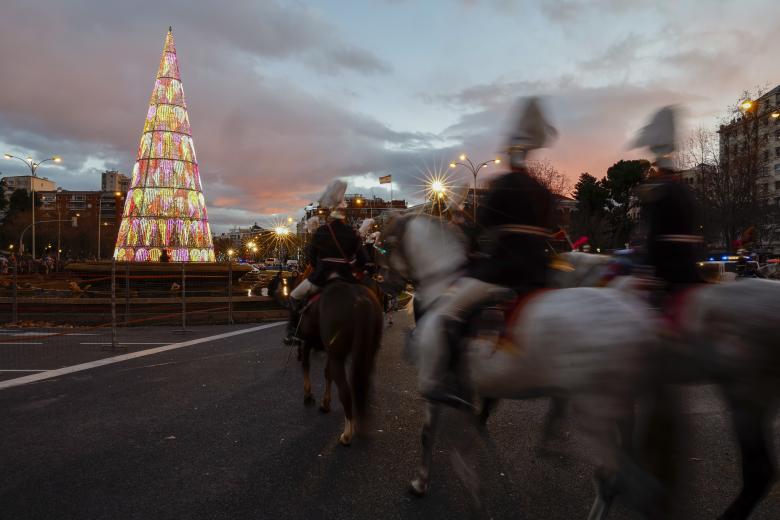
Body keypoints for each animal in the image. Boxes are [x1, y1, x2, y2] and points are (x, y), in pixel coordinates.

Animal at [296, 278, 384, 444]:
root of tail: (361, 300)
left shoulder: (307, 342)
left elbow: (306, 365)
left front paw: (308, 395)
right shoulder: (327, 351)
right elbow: (327, 373)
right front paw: (325, 403)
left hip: (337, 355)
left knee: (345, 391)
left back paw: (347, 434)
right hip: (368, 353)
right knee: (364, 384)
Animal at [380, 214, 668, 516]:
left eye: (385, 246)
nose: (386, 288)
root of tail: (641, 321)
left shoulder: (431, 381)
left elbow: (428, 435)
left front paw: (421, 483)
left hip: (597, 413)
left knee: (607, 478)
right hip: (624, 412)